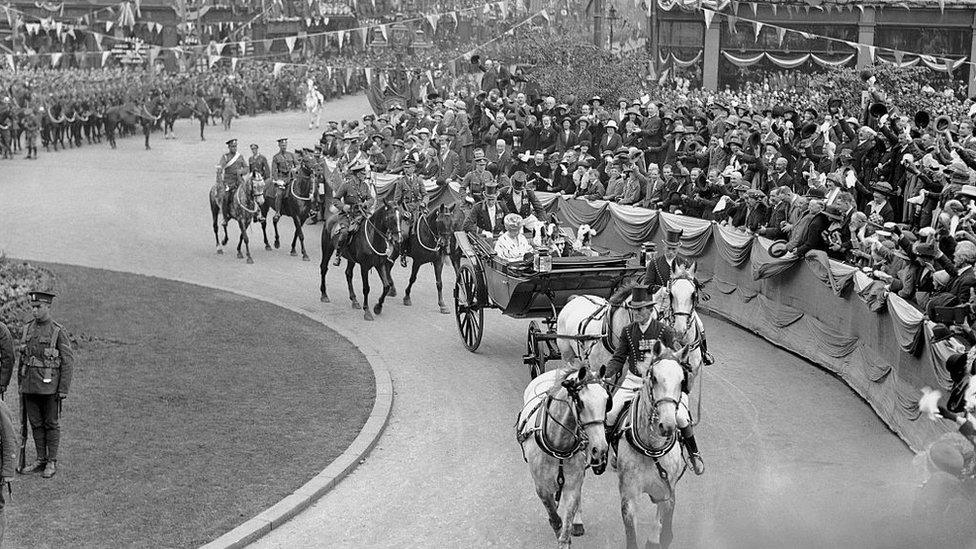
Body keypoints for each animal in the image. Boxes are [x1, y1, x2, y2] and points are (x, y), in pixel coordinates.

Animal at [520, 366, 608, 544]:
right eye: (580, 403)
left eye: (607, 401)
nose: (600, 449)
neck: (559, 446)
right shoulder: (541, 488)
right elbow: (555, 518)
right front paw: (555, 523)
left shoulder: (572, 485)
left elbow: (566, 527)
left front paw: (567, 531)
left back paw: (578, 522)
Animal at [612, 340, 692, 544]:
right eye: (654, 378)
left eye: (682, 381)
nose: (668, 425)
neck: (652, 449)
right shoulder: (629, 496)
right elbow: (631, 535)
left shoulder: (668, 491)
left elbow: (663, 530)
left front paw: (658, 537)